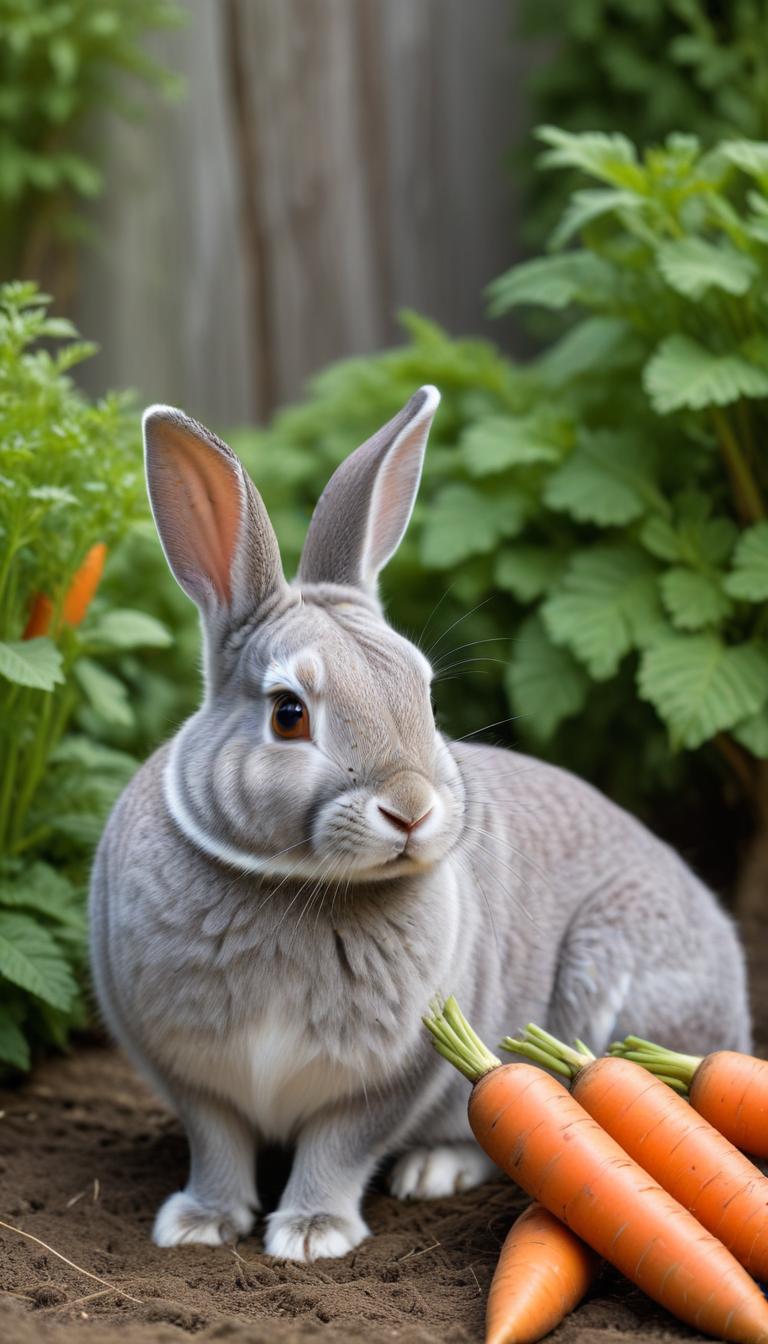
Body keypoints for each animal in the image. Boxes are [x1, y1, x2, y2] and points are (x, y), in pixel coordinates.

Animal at [89, 386, 751, 1263]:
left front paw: (311, 1234)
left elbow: (339, 1146)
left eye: (425, 694)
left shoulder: (391, 1076)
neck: (295, 886)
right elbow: (219, 1142)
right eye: (289, 714)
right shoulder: (191, 1077)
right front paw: (199, 1225)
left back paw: (436, 1169)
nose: (412, 809)